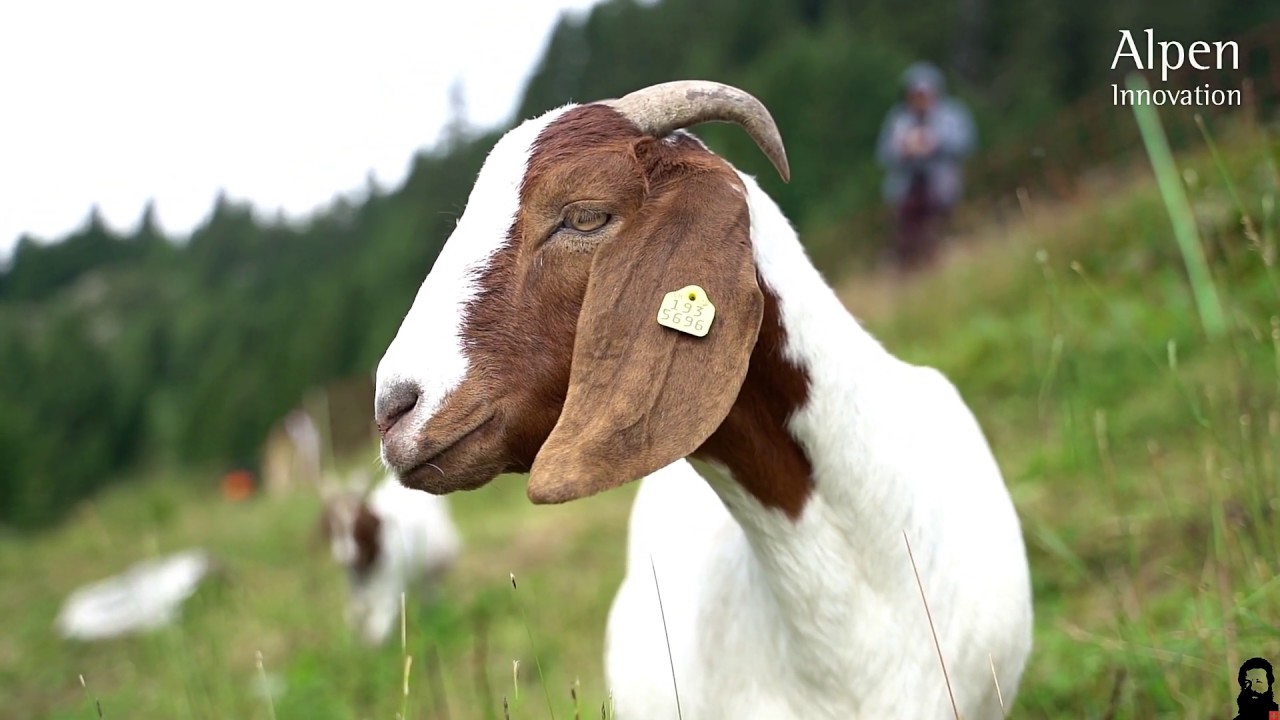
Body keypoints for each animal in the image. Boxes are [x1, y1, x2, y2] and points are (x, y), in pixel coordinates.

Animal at [317, 469, 461, 646]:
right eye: (332, 527)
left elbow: (377, 626)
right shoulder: (354, 585)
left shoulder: (390, 585)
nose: (345, 556)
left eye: (359, 525)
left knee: (429, 589)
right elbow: (355, 614)